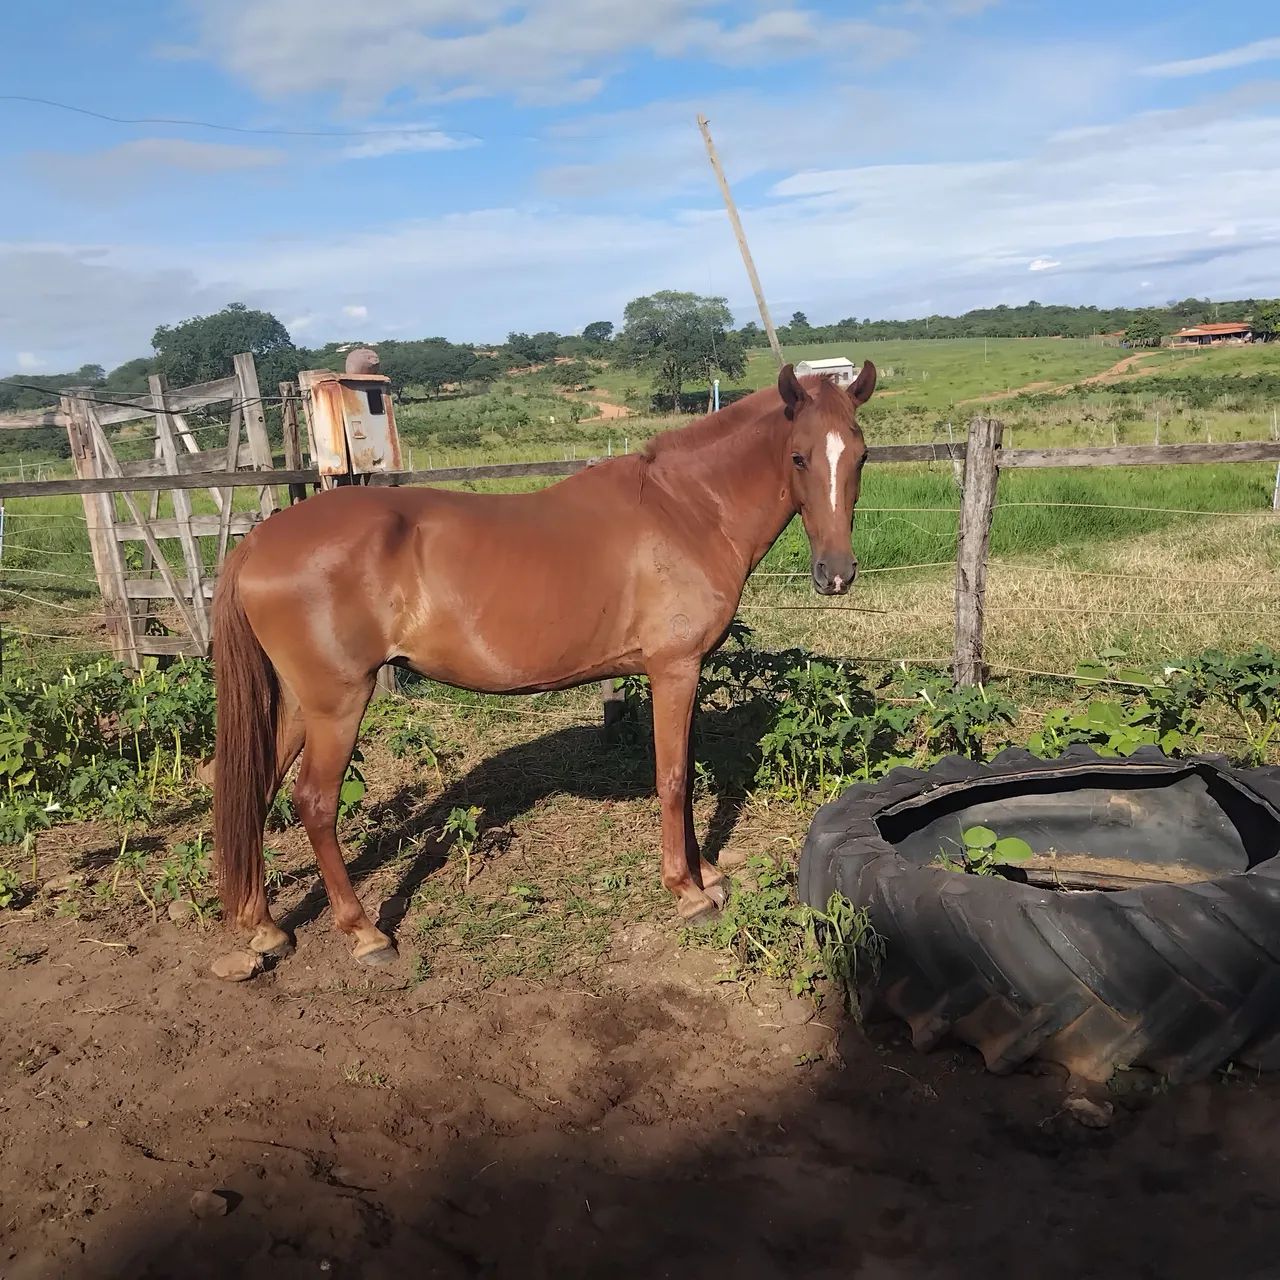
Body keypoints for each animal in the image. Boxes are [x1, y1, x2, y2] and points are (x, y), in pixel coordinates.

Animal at [211, 360, 875, 970]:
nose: (837, 574)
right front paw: (687, 891)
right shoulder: (675, 670)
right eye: (798, 457)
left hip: (302, 705)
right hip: (339, 704)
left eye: (861, 456)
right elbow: (673, 777)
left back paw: (263, 928)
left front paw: (706, 872)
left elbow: (683, 771)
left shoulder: (681, 673)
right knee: (315, 803)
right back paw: (365, 933)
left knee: (257, 792)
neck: (684, 509)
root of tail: (258, 540)